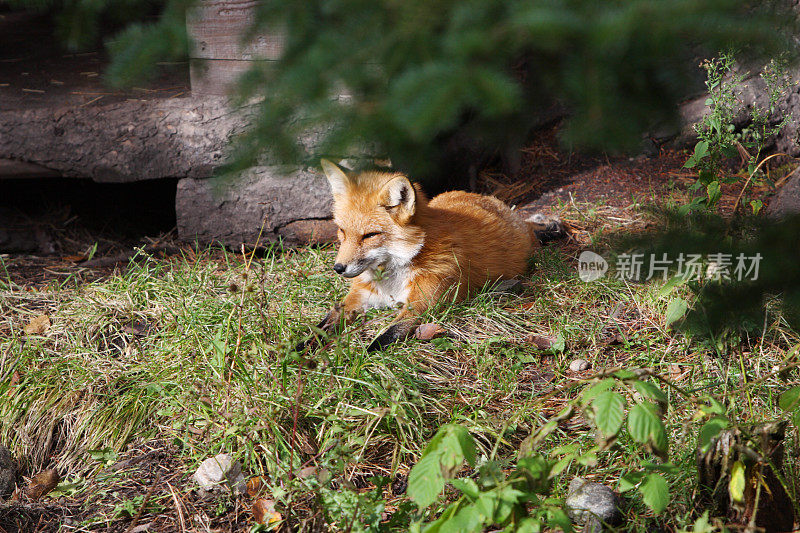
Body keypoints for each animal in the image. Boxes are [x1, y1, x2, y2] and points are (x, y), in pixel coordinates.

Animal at [300, 159, 556, 350]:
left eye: (370, 235)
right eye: (342, 231)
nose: (338, 268)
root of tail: (488, 199)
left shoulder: (425, 302)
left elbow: (387, 336)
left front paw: (360, 358)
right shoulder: (358, 296)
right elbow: (322, 326)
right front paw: (299, 351)